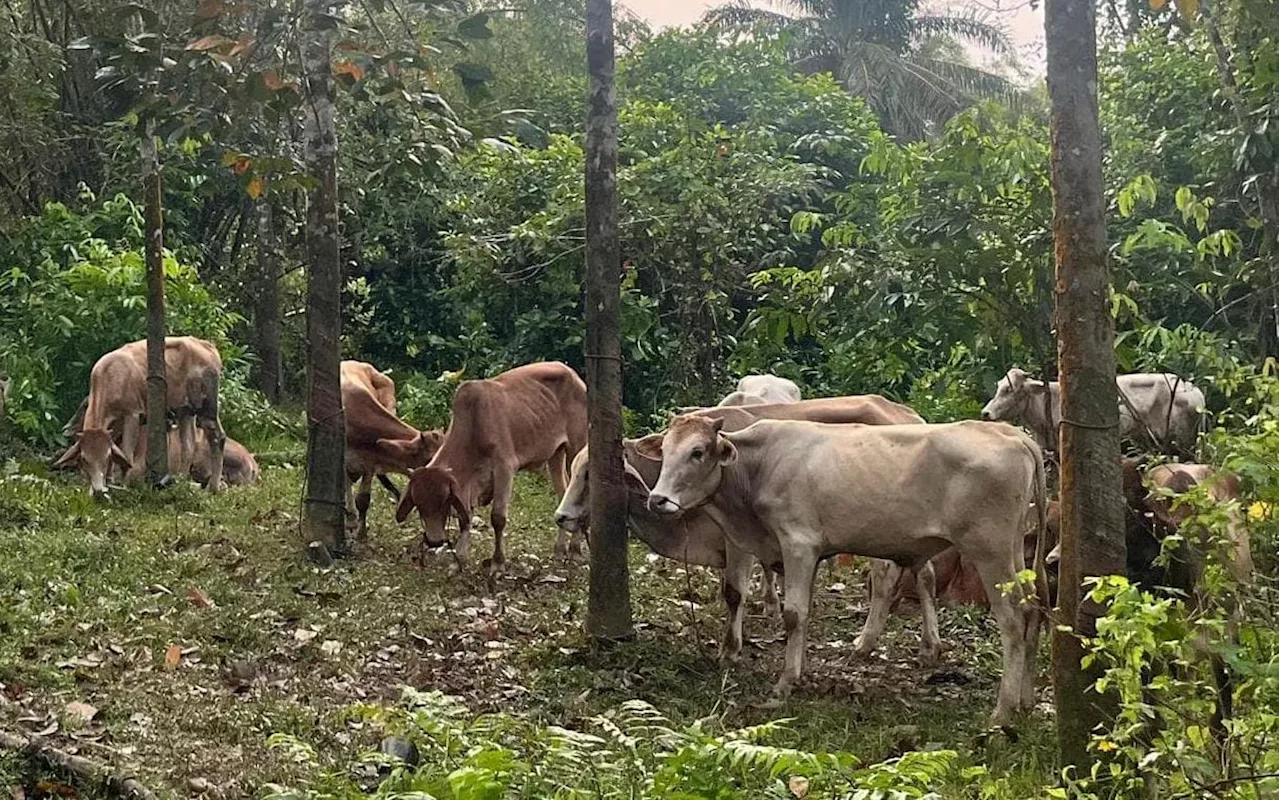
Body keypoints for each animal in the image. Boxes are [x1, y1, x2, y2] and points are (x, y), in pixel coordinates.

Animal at [55, 335, 226, 494]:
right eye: (84, 459)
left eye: (105, 457)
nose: (98, 488)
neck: (111, 376)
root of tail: (207, 345)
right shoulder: (114, 425)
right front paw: (109, 482)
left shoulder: (133, 414)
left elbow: (126, 454)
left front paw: (122, 485)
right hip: (185, 410)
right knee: (188, 444)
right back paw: (182, 480)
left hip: (207, 406)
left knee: (217, 437)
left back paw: (213, 487)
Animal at [396, 360, 586, 568]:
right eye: (419, 504)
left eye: (443, 501)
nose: (434, 541)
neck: (473, 427)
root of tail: (574, 375)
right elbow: (465, 518)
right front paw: (461, 558)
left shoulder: (504, 468)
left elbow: (498, 518)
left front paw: (498, 563)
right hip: (555, 455)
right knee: (563, 494)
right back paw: (559, 550)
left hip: (576, 447)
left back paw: (575, 550)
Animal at [555, 394, 926, 660]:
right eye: (576, 468)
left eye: (589, 474)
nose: (562, 516)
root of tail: (909, 415)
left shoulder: (737, 543)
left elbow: (734, 593)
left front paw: (731, 649)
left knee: (883, 579)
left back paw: (865, 642)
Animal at [640, 417, 1049, 721]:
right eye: (664, 450)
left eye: (697, 451)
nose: (657, 499)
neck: (758, 467)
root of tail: (1012, 434)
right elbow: (801, 615)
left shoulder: (798, 544)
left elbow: (793, 614)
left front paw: (785, 682)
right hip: (1014, 552)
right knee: (1032, 611)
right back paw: (1026, 700)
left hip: (990, 551)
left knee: (1013, 620)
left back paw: (1002, 711)